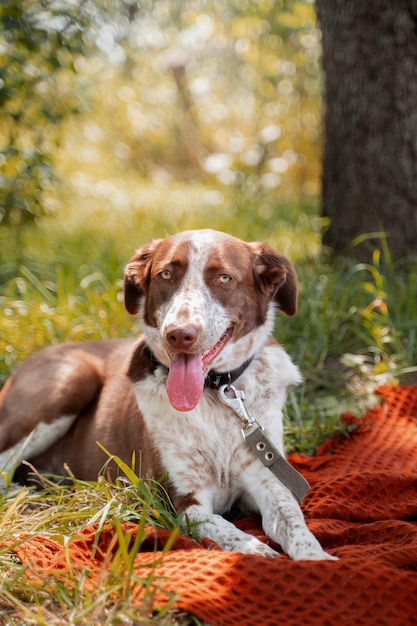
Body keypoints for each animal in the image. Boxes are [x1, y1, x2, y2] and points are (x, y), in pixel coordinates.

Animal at [0, 229, 334, 560]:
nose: (179, 334)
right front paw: (257, 552)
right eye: (166, 274)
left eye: (224, 278)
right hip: (70, 379)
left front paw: (317, 560)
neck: (215, 393)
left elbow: (294, 521)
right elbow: (228, 531)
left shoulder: (267, 479)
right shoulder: (180, 500)